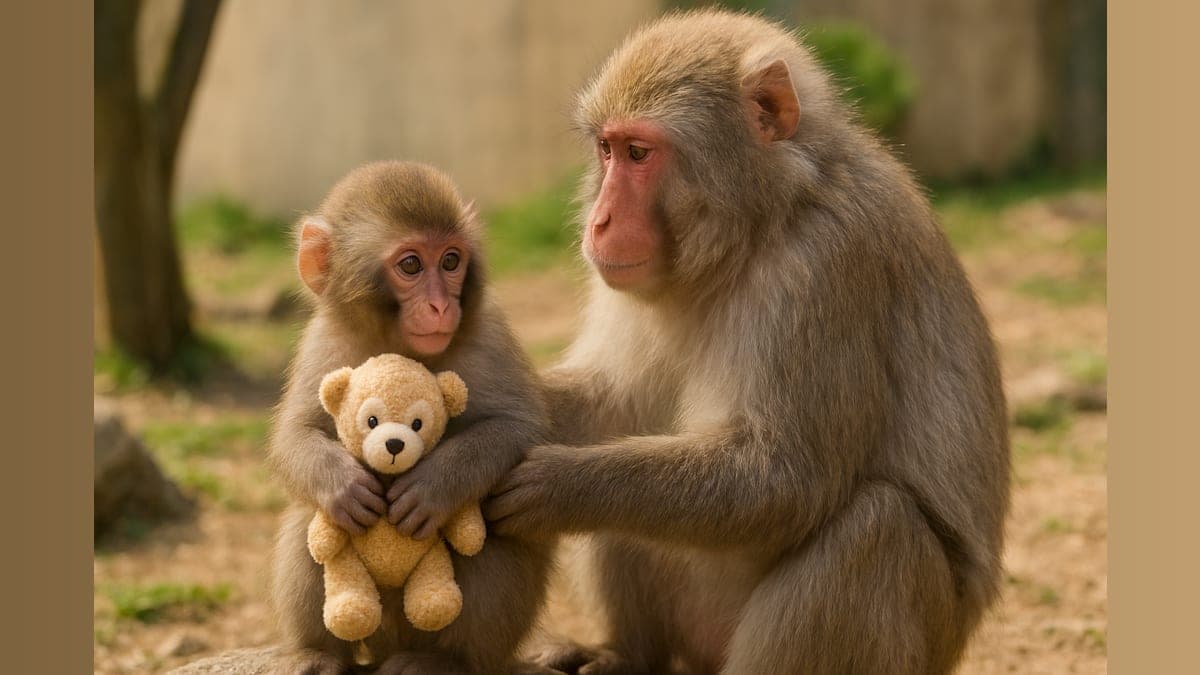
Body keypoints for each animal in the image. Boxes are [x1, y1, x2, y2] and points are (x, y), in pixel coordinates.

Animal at [267, 161, 554, 674]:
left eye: (451, 261)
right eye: (411, 265)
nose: (441, 305)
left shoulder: (489, 333)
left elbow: (520, 427)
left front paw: (434, 485)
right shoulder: (324, 341)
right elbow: (295, 434)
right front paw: (342, 483)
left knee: (490, 539)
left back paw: (444, 660)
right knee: (310, 521)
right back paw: (320, 653)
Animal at [484, 10, 1010, 675]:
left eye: (639, 153)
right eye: (606, 149)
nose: (597, 222)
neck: (762, 222)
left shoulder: (823, 265)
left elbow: (787, 479)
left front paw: (561, 487)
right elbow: (613, 400)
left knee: (876, 527)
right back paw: (624, 654)